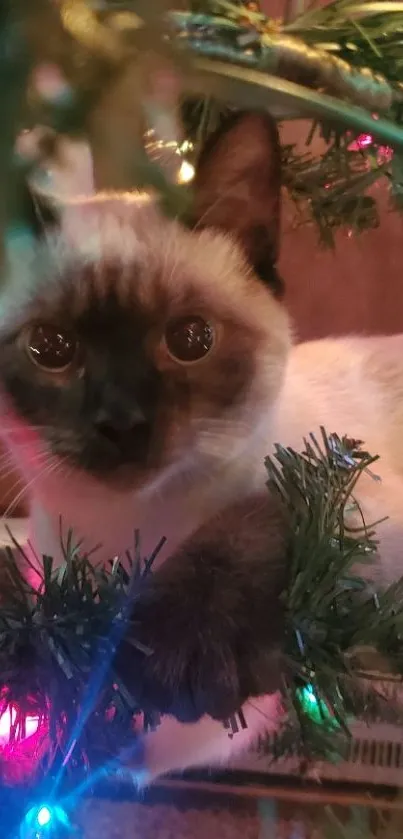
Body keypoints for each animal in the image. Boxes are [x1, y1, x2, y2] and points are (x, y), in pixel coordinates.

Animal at [0, 113, 403, 788]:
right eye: (50, 348)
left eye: (191, 340)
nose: (123, 422)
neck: (127, 537)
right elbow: (86, 709)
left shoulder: (346, 488)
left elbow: (267, 510)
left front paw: (180, 650)